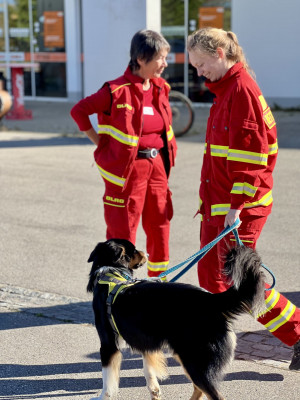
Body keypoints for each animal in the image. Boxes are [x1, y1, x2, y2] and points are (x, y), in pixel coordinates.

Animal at [86, 239, 264, 398]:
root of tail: (211, 299)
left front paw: (103, 396)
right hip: (187, 357)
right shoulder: (142, 339)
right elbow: (148, 368)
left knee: (212, 394)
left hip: (194, 362)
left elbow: (107, 381)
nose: (147, 253)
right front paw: (154, 390)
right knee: (199, 390)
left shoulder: (108, 344)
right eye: (135, 251)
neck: (110, 273)